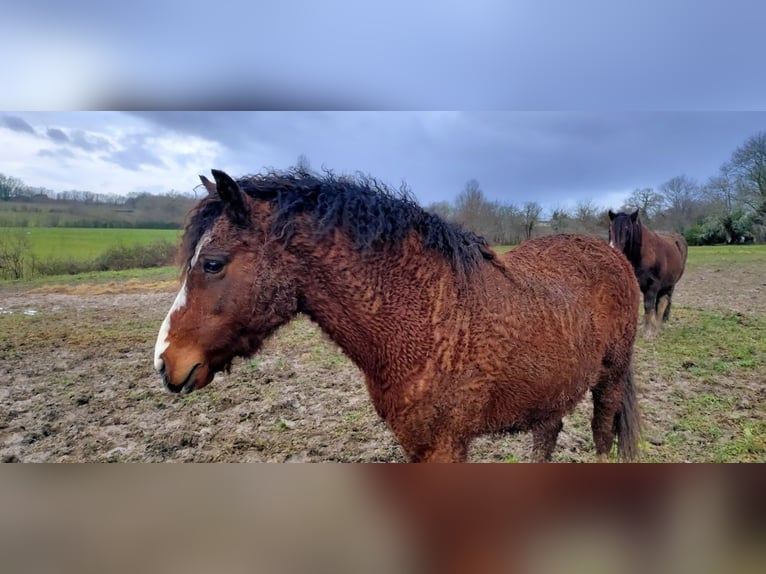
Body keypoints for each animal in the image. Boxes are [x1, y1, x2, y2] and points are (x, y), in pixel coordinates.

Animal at [154, 168, 640, 464]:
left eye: (212, 263)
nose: (165, 361)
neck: (426, 318)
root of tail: (611, 253)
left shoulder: (446, 448)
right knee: (548, 434)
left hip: (610, 379)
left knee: (602, 434)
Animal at [612, 210, 688, 338]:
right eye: (610, 229)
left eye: (627, 229)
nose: (614, 249)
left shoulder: (653, 285)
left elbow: (649, 305)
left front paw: (648, 331)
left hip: (670, 283)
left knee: (664, 301)